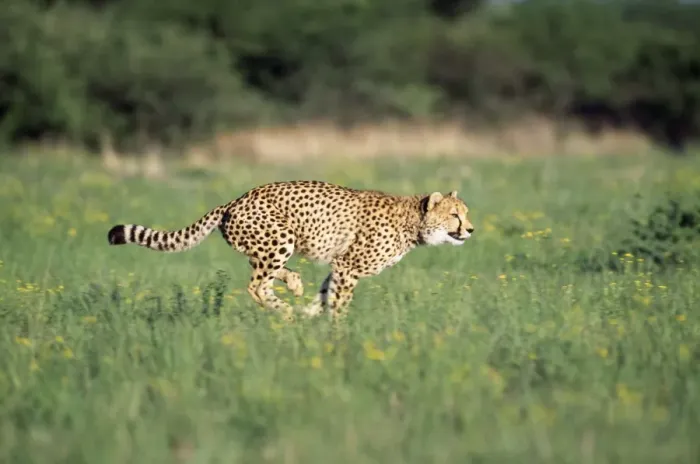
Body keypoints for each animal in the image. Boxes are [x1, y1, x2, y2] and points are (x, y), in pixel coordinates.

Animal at [107, 180, 475, 320]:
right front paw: (338, 331)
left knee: (263, 274)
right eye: (454, 215)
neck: (413, 221)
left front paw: (311, 314)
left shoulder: (340, 266)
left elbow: (325, 294)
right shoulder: (349, 266)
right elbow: (339, 303)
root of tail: (235, 200)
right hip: (279, 238)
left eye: (465, 212)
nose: (470, 229)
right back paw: (283, 310)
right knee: (256, 285)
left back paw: (293, 287)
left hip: (270, 244)